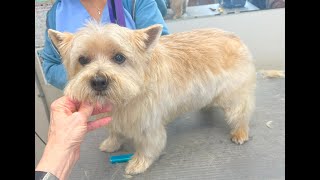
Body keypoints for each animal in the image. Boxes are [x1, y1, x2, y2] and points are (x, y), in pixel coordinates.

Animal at [47, 22, 256, 174]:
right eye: (83, 60)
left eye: (119, 57)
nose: (98, 81)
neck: (123, 100)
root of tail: (233, 36)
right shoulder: (116, 119)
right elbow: (115, 132)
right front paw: (112, 143)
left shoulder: (148, 125)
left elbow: (148, 146)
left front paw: (138, 163)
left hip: (234, 95)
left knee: (241, 112)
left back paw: (240, 132)